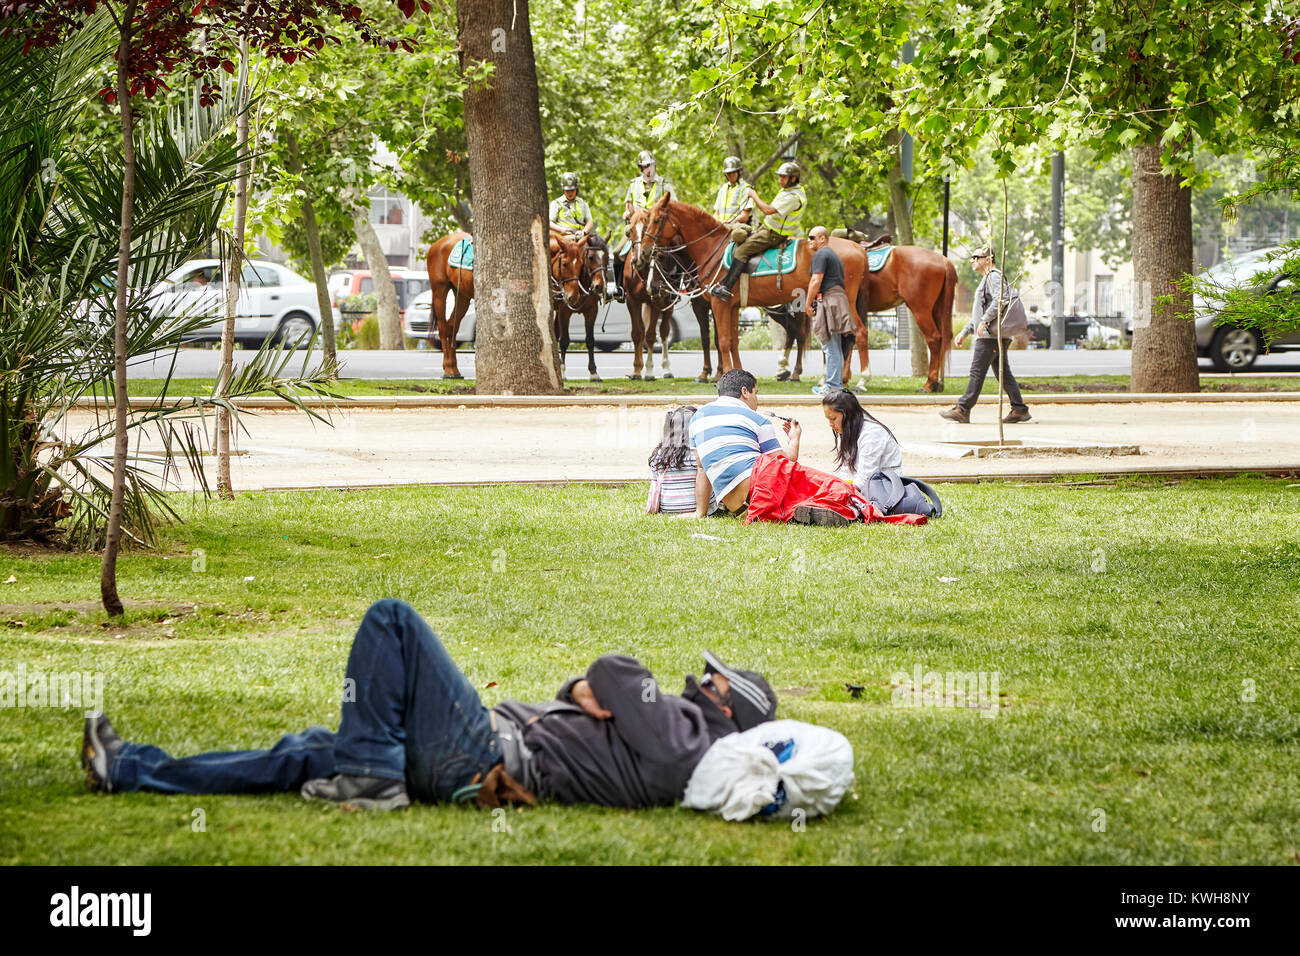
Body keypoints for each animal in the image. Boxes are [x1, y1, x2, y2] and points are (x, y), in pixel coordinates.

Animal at [423, 231, 475, 377]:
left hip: (462, 295)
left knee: (452, 327)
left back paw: (454, 369)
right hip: (439, 291)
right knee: (443, 328)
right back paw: (449, 369)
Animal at [634, 192, 868, 382]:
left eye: (656, 220)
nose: (644, 253)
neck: (713, 248)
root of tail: (857, 247)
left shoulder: (719, 305)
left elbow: (723, 341)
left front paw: (721, 375)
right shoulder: (732, 307)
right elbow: (733, 342)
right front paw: (736, 373)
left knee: (857, 332)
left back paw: (858, 379)